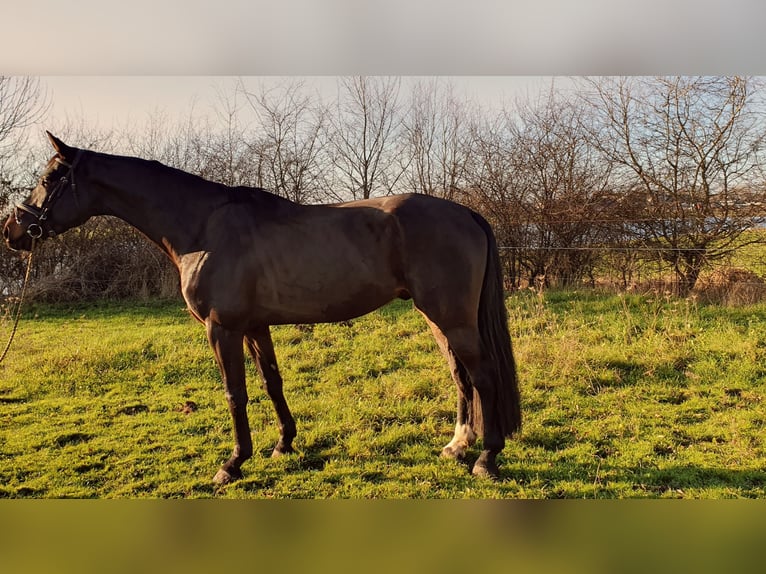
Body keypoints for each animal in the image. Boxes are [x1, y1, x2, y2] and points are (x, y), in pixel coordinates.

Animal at [3, 132, 521, 484]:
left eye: (48, 179)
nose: (13, 231)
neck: (202, 228)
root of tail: (465, 212)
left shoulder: (222, 329)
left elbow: (235, 394)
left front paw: (232, 463)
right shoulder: (255, 327)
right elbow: (273, 383)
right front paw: (283, 443)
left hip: (452, 318)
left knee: (483, 375)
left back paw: (486, 458)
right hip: (437, 318)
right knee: (460, 376)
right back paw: (457, 446)